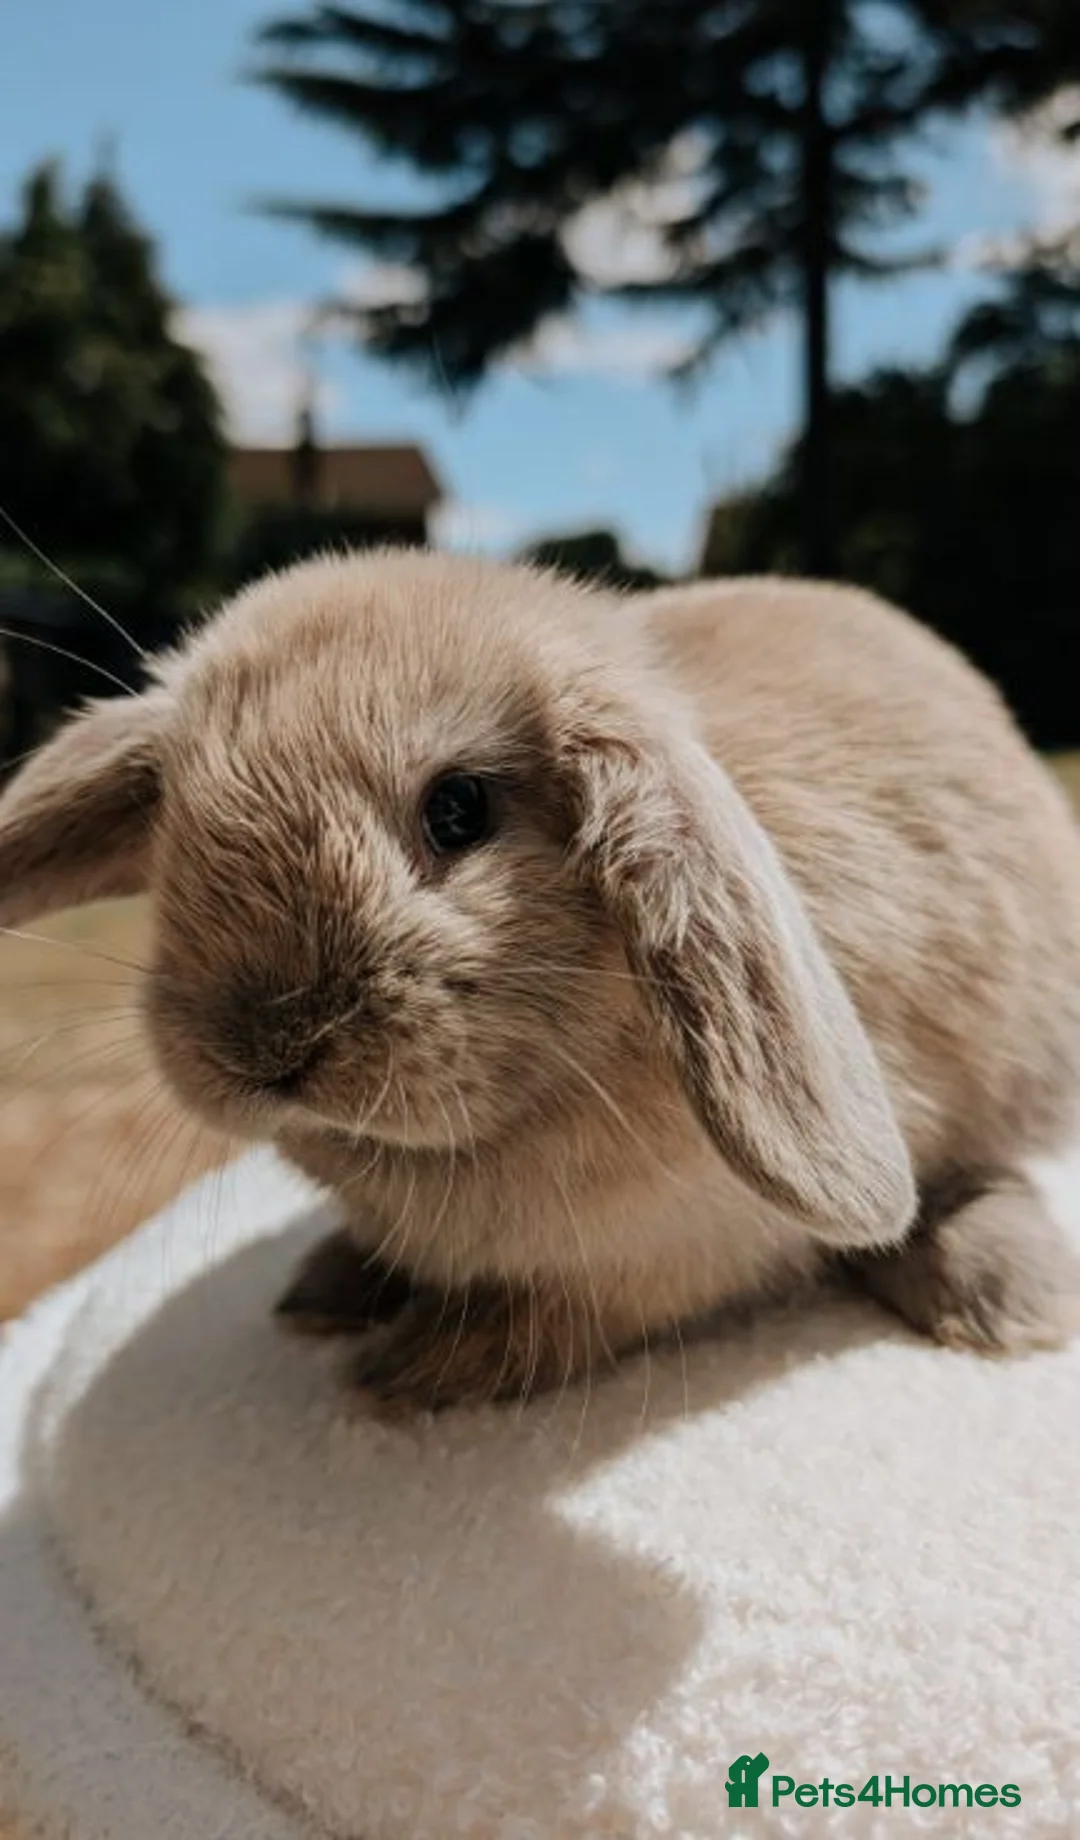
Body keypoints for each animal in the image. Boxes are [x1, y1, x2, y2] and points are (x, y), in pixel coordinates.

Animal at [2, 548, 1079, 1410]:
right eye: (172, 824)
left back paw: (1002, 1296)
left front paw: (413, 1371)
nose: (263, 1048)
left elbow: (553, 1321)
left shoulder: (678, 1255)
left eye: (459, 810)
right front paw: (338, 1299)